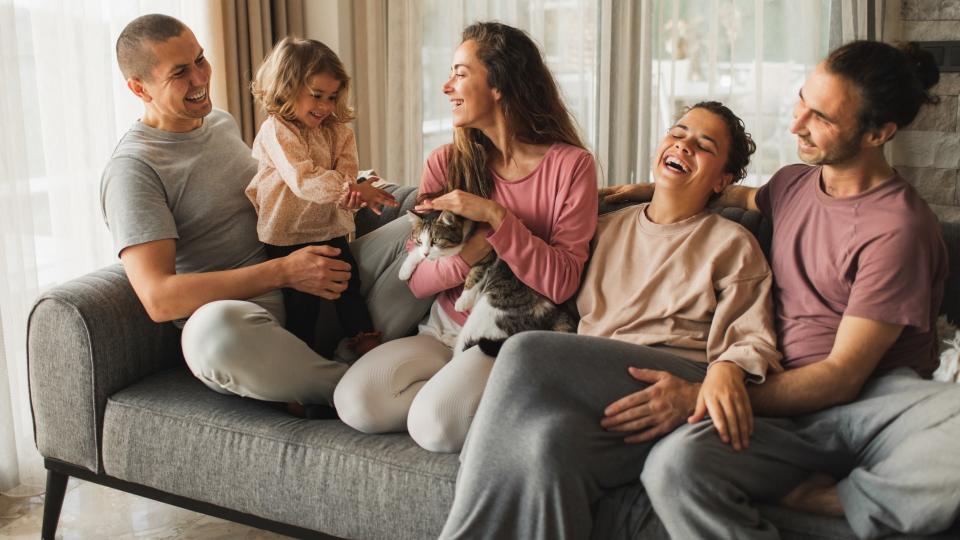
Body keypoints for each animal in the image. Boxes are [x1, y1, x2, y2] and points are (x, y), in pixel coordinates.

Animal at [400, 209, 576, 356]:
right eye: (419, 240)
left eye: (435, 240)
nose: (426, 253)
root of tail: (557, 315)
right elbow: (419, 254)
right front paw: (405, 269)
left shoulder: (487, 256)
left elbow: (474, 274)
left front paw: (463, 301)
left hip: (489, 310)